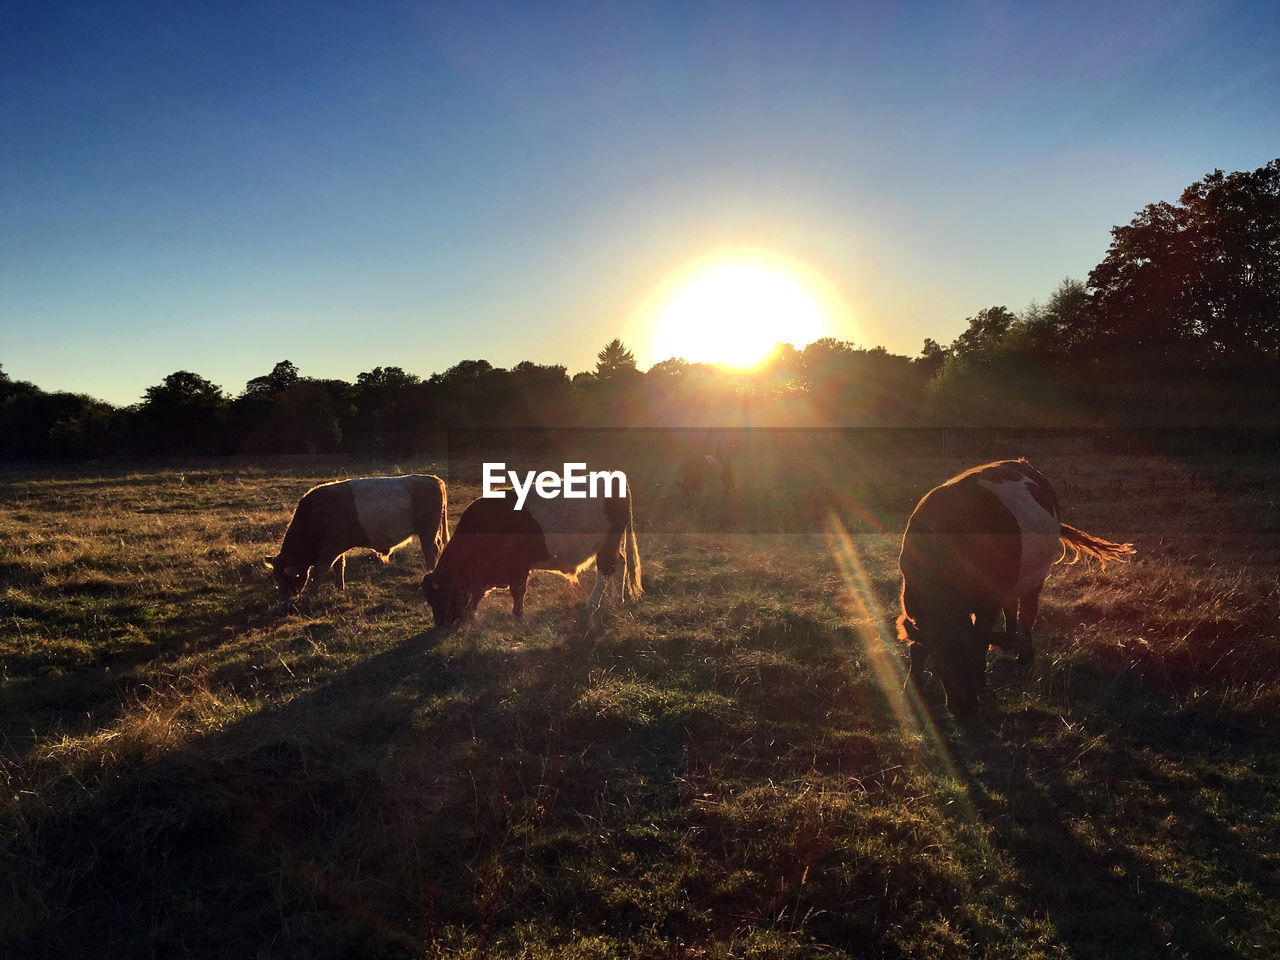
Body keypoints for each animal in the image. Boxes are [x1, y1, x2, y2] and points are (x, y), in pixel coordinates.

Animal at [264, 476, 450, 601]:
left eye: (288, 577)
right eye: (276, 577)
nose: (284, 599)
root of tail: (434, 479)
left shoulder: (330, 548)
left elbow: (319, 571)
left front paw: (312, 595)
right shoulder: (337, 548)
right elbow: (339, 566)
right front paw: (340, 588)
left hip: (427, 532)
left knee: (431, 552)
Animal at [419, 483, 640, 627]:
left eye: (444, 595)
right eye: (429, 600)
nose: (442, 625)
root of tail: (612, 477)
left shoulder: (518, 565)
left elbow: (517, 591)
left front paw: (517, 615)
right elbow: (478, 592)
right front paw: (473, 612)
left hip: (607, 543)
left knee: (606, 570)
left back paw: (592, 604)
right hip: (611, 545)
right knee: (620, 564)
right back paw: (617, 600)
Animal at [896, 460, 1136, 721]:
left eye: (970, 659)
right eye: (940, 662)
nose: (965, 709)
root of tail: (1021, 462)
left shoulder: (987, 603)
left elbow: (983, 635)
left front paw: (982, 680)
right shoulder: (912, 603)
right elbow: (917, 649)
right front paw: (911, 687)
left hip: (1037, 575)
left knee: (1027, 613)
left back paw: (1024, 654)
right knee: (1011, 607)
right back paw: (1009, 640)